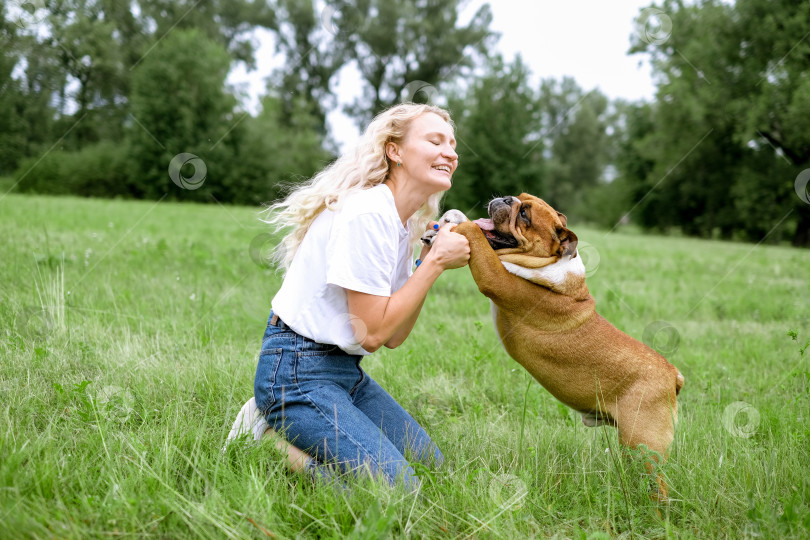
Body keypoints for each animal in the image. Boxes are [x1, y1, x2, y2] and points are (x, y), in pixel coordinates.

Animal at [430, 195, 680, 502]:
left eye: (524, 215)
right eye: (519, 199)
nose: (506, 198)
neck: (548, 261)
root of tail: (673, 376)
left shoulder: (495, 277)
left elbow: (476, 234)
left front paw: (459, 226)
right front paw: (450, 220)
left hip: (642, 446)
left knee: (657, 488)